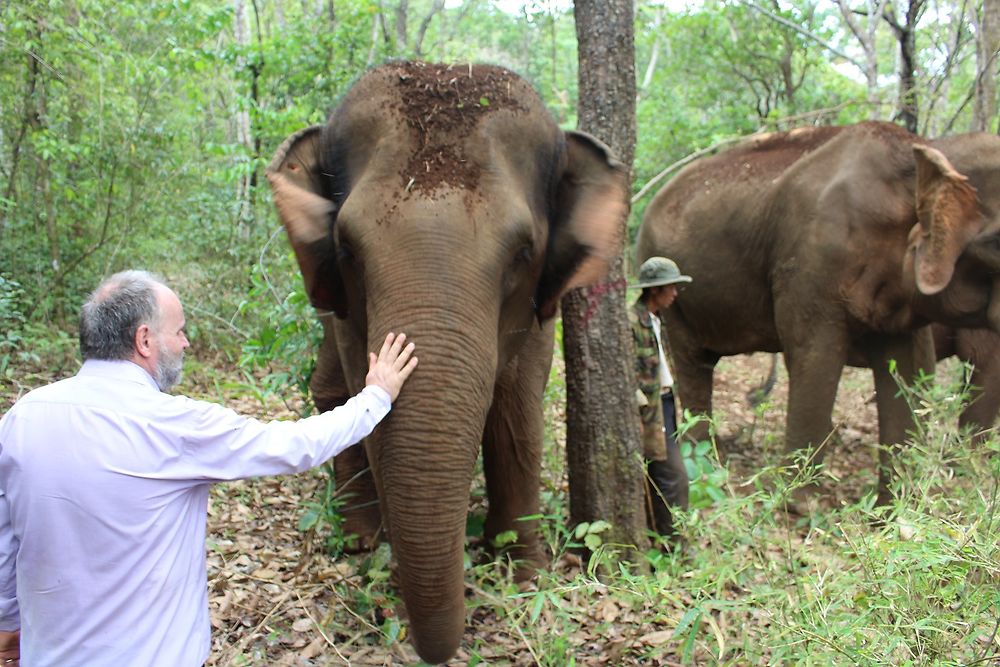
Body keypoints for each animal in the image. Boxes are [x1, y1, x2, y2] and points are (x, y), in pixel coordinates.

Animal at [264, 61, 624, 664]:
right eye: (347, 248)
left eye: (523, 251)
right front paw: (388, 565)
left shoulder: (538, 313)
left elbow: (518, 415)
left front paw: (523, 573)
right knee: (330, 385)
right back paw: (359, 536)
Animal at [636, 121, 1000, 506]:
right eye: (996, 245)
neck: (924, 150)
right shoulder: (811, 263)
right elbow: (814, 356)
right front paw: (799, 505)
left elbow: (912, 366)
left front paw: (896, 506)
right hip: (672, 289)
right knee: (691, 359)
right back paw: (703, 459)